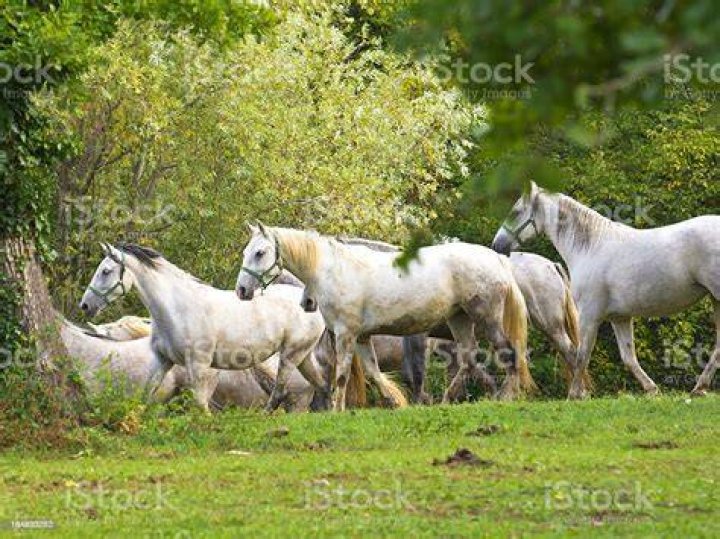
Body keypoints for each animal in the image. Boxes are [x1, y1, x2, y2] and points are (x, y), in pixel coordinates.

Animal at [79, 243, 330, 412]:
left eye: (106, 271)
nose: (85, 305)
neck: (177, 308)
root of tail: (310, 303)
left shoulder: (199, 365)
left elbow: (200, 404)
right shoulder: (163, 359)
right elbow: (147, 391)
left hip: (290, 356)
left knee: (281, 391)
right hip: (302, 357)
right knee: (322, 385)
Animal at [236, 223, 533, 411]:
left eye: (260, 253)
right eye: (246, 252)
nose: (241, 290)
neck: (337, 270)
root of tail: (496, 260)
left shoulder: (345, 335)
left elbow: (342, 376)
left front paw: (337, 409)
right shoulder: (361, 338)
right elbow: (373, 373)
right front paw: (394, 403)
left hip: (486, 318)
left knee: (508, 353)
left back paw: (506, 398)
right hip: (459, 319)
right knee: (469, 359)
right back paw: (447, 401)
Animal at [492, 181, 720, 398]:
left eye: (515, 212)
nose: (497, 245)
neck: (590, 248)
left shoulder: (590, 317)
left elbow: (581, 354)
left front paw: (576, 394)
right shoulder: (620, 318)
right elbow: (628, 358)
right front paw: (651, 390)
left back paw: (699, 387)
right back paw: (700, 388)